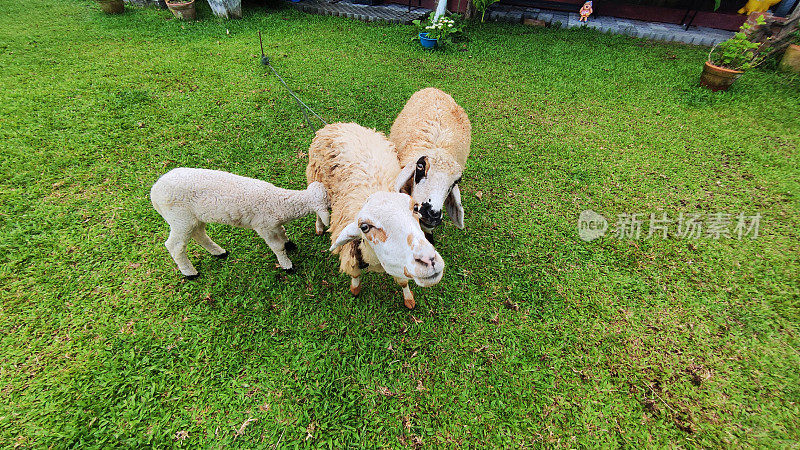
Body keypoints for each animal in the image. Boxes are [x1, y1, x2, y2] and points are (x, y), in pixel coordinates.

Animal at [152, 166, 330, 276]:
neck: (278, 203)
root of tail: (154, 191)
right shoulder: (263, 226)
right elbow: (277, 246)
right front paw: (287, 264)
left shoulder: (273, 223)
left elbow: (282, 231)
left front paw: (289, 244)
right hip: (179, 218)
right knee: (175, 246)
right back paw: (190, 272)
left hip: (194, 218)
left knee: (199, 234)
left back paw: (219, 252)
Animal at [304, 122, 444, 310]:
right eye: (364, 227)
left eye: (415, 207)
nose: (429, 261)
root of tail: (336, 125)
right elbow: (355, 276)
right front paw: (355, 290)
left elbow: (403, 282)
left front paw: (408, 299)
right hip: (316, 178)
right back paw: (319, 226)